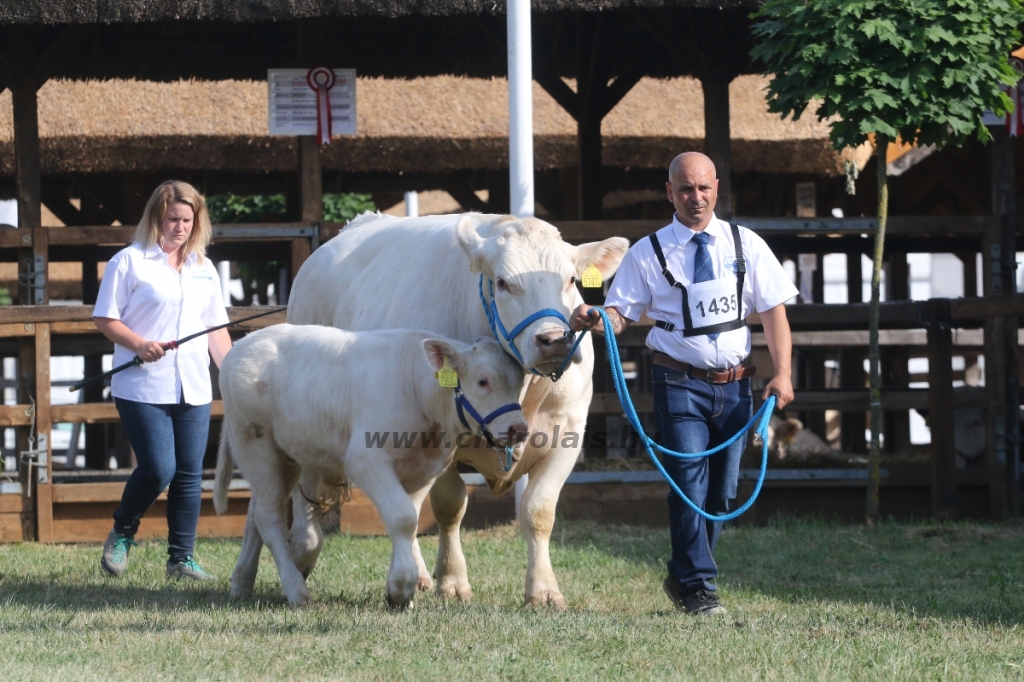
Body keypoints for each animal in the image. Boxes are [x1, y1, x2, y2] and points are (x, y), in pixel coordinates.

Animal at [210, 323, 524, 606]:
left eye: (520, 383)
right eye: (483, 381)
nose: (519, 429)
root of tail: (244, 342)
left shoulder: (425, 469)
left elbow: (409, 519)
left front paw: (397, 587)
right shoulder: (366, 460)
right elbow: (402, 518)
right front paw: (401, 587)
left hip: (287, 455)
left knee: (256, 514)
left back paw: (242, 581)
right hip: (254, 444)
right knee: (269, 518)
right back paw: (296, 590)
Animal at [284, 212, 626, 606]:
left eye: (571, 279)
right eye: (502, 282)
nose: (554, 340)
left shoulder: (566, 434)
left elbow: (539, 510)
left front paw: (543, 590)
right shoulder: (441, 435)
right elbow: (449, 506)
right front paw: (451, 580)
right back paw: (305, 551)